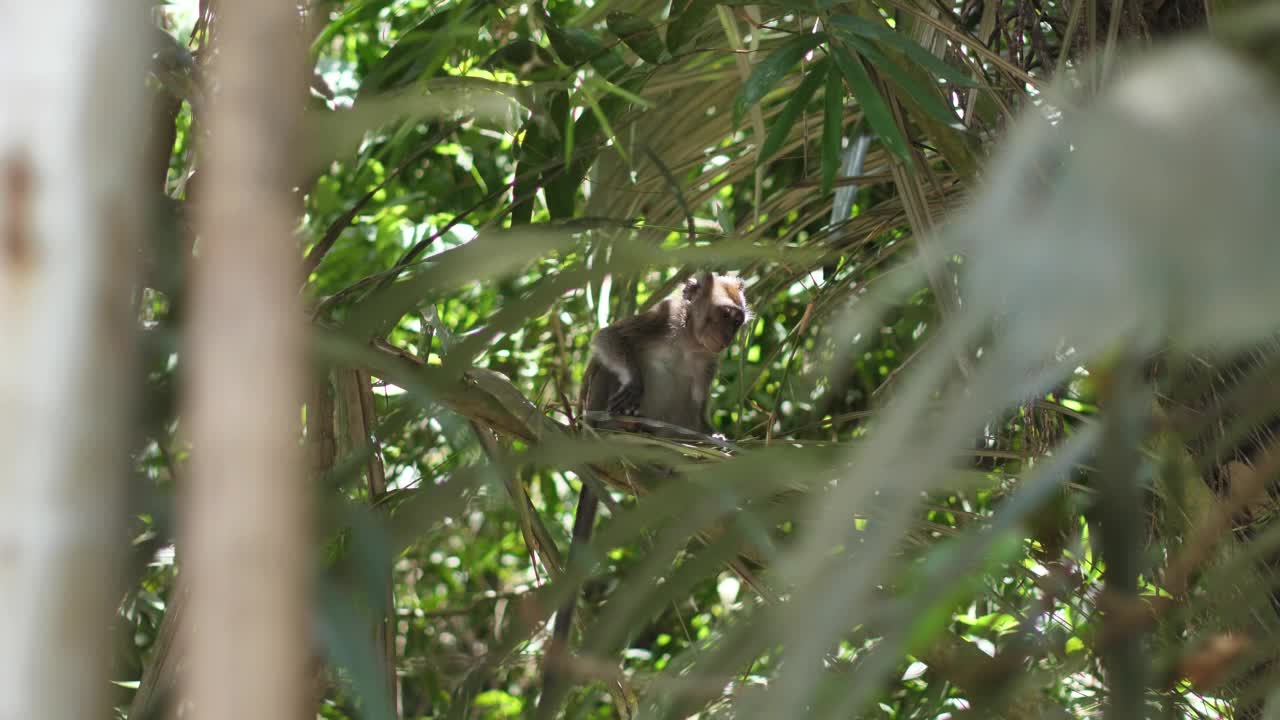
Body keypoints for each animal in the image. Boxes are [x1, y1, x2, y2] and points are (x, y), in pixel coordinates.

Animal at [537, 270, 752, 717]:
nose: (728, 337)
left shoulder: (707, 364)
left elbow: (698, 410)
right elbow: (608, 338)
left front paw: (716, 440)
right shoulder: (660, 318)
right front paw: (633, 382)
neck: (688, 339)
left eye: (737, 321)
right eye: (726, 315)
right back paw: (617, 425)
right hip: (591, 408)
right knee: (603, 371)